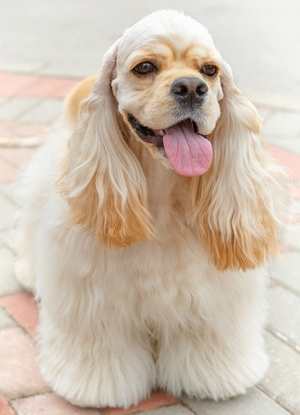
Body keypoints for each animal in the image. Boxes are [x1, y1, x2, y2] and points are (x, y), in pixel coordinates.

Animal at [15, 8, 280, 410]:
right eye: (144, 67)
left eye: (210, 70)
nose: (192, 88)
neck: (162, 190)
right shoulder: (95, 294)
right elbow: (103, 347)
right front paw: (98, 386)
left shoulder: (209, 294)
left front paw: (216, 376)